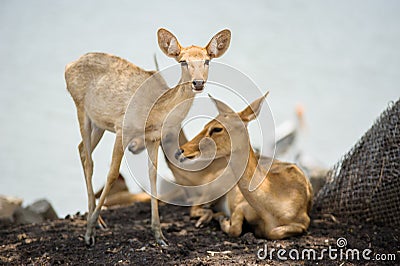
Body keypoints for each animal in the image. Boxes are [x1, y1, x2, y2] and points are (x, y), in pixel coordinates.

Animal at [65, 28, 231, 246]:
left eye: (207, 60)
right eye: (183, 61)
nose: (198, 83)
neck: (155, 112)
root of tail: (68, 66)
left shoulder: (153, 138)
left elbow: (153, 175)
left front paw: (159, 235)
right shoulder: (122, 128)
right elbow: (112, 174)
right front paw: (88, 233)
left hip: (99, 122)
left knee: (81, 149)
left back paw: (99, 220)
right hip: (81, 108)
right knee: (89, 159)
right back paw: (93, 224)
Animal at [177, 93, 314, 239]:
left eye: (217, 128)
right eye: (205, 125)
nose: (181, 150)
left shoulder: (304, 222)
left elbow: (274, 232)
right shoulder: (241, 207)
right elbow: (235, 229)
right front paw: (224, 220)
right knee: (195, 207)